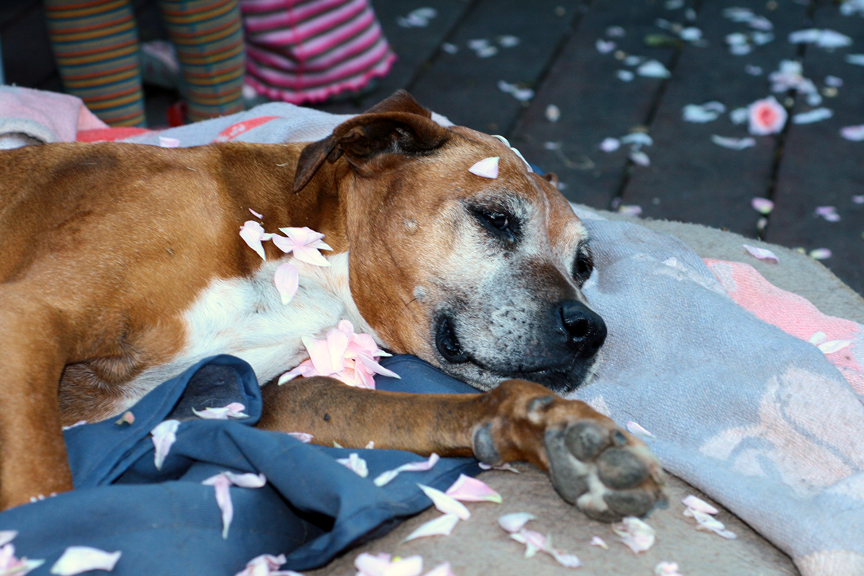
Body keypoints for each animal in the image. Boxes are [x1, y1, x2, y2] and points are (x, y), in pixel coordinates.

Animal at [0, 89, 668, 516]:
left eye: (584, 266)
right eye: (496, 218)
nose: (590, 328)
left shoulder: (260, 400)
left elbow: (426, 412)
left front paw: (555, 431)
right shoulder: (28, 320)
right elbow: (43, 492)